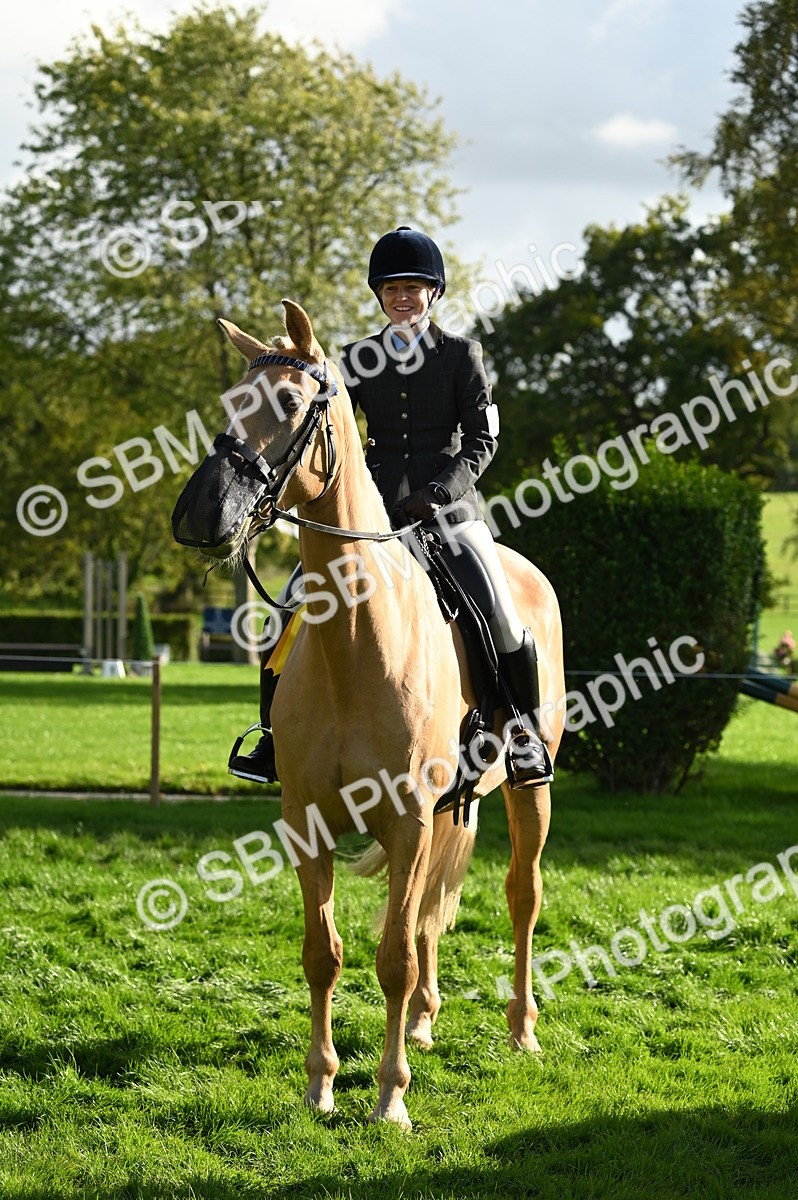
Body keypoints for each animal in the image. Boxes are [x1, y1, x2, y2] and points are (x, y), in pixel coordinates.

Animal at [172, 300, 565, 1129]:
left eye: (292, 402)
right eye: (229, 402)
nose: (200, 515)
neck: (357, 640)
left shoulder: (408, 819)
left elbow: (392, 957)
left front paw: (390, 1098)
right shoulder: (308, 818)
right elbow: (326, 954)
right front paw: (321, 1085)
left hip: (528, 792)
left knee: (520, 896)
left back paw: (521, 1031)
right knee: (428, 917)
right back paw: (423, 1019)